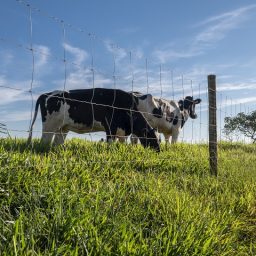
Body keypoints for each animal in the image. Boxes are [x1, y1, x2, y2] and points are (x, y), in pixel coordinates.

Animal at [27, 88, 160, 152]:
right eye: (151, 137)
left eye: (159, 139)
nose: (158, 151)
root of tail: (47, 94)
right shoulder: (110, 127)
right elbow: (110, 143)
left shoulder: (122, 131)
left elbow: (122, 143)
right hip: (49, 125)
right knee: (44, 142)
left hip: (62, 128)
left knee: (57, 142)